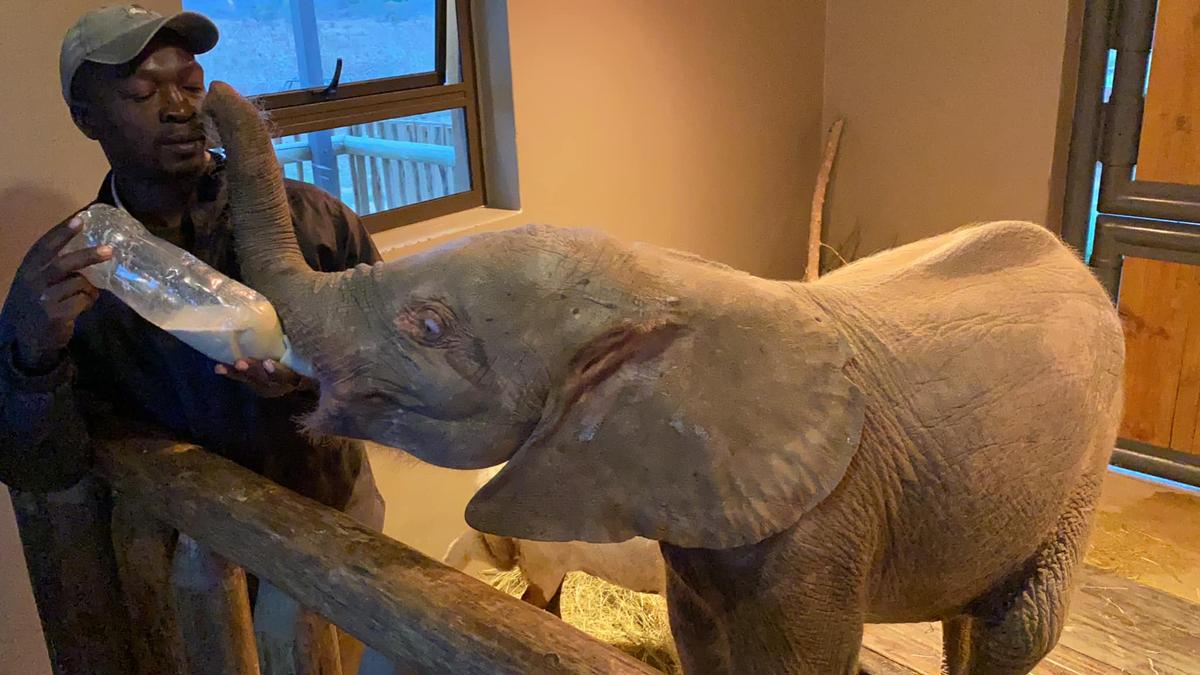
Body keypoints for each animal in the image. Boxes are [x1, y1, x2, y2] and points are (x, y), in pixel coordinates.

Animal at [203, 82, 1125, 674]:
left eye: (428, 326)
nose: (208, 93)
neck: (663, 285)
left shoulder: (827, 520)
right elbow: (699, 641)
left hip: (1084, 466)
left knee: (1018, 630)